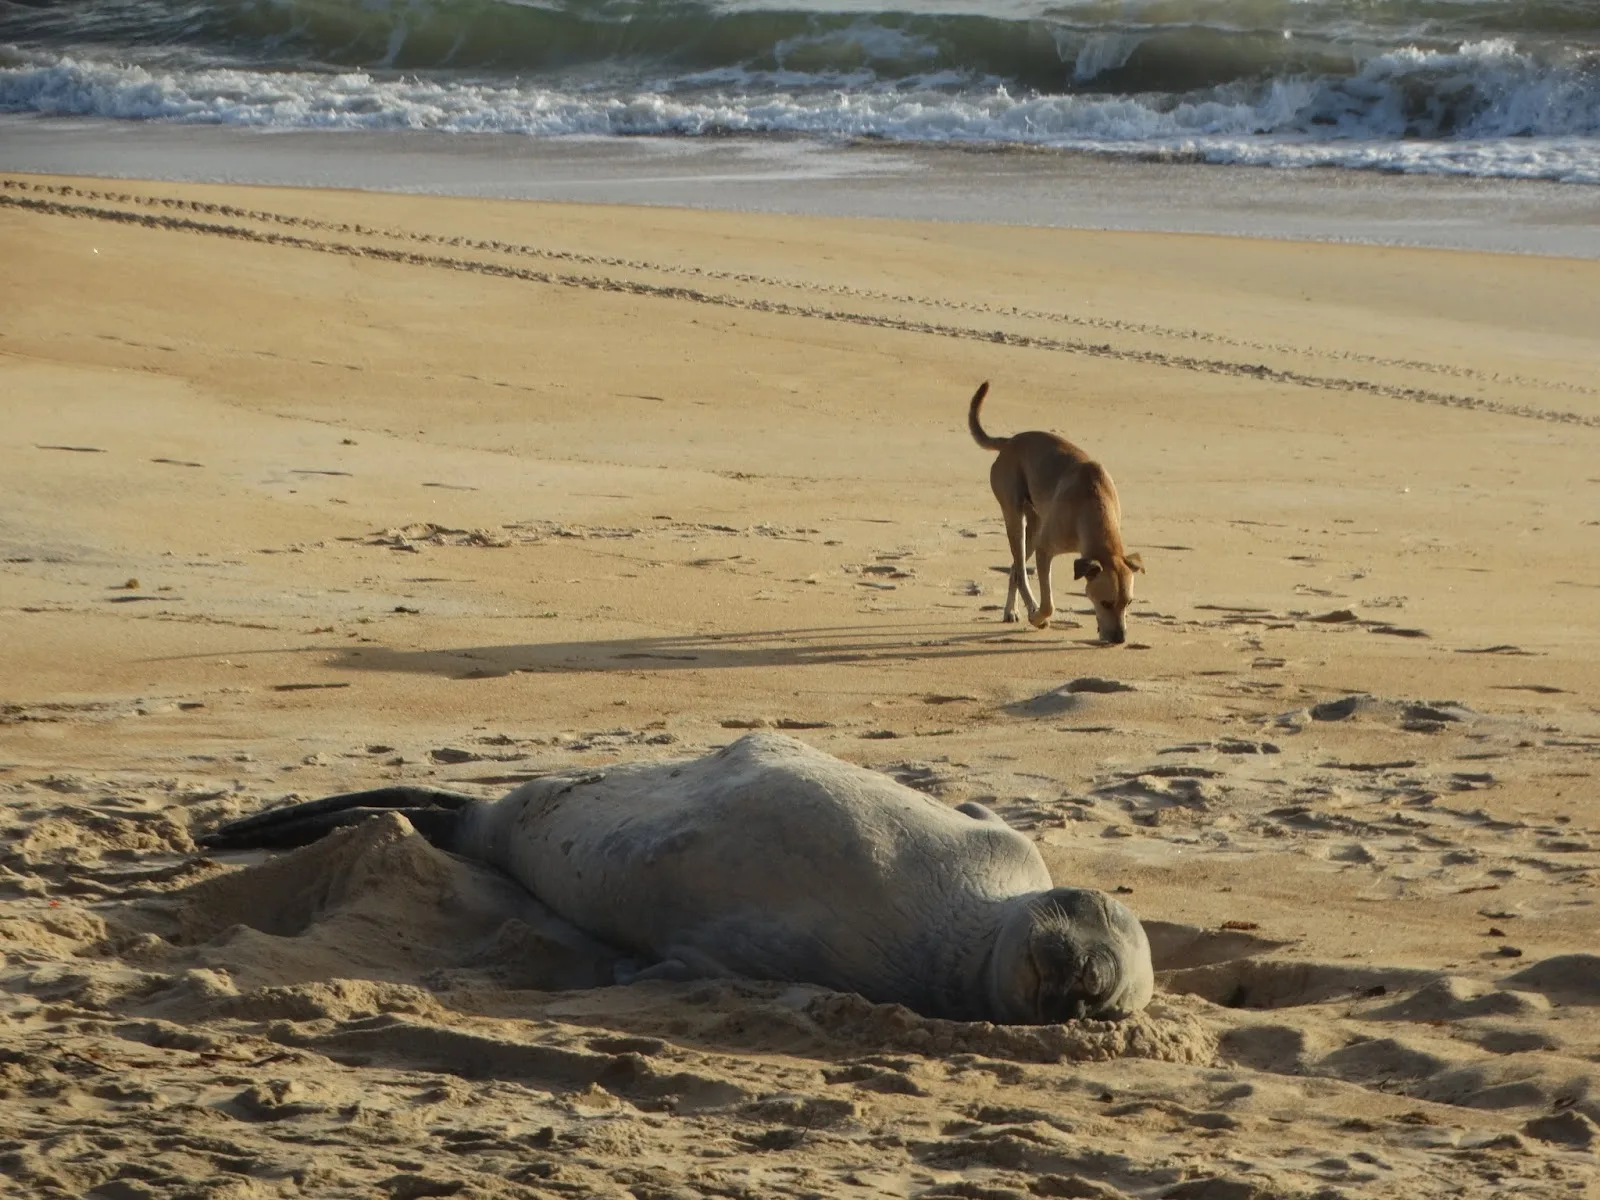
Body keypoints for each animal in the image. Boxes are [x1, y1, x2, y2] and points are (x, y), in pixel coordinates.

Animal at [966, 385, 1145, 649]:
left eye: (1129, 603)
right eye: (1106, 603)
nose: (1119, 640)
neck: (1092, 504)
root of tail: (1010, 442)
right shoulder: (1045, 549)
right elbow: (1048, 603)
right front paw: (1037, 617)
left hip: (1034, 526)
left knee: (1014, 568)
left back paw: (1011, 610)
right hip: (1015, 517)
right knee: (1020, 571)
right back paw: (1028, 608)